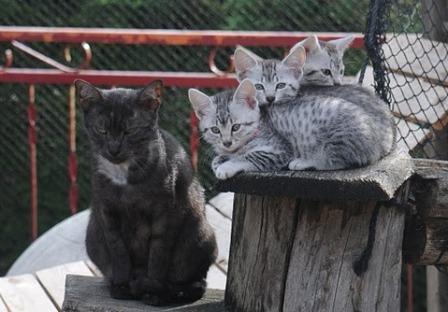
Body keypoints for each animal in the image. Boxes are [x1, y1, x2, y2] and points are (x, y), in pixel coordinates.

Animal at [75, 79, 217, 306]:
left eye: (130, 131)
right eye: (102, 130)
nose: (114, 149)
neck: (124, 177)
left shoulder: (165, 214)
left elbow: (158, 255)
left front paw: (153, 289)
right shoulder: (107, 213)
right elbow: (119, 252)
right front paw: (121, 286)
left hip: (201, 235)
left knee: (196, 282)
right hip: (92, 236)